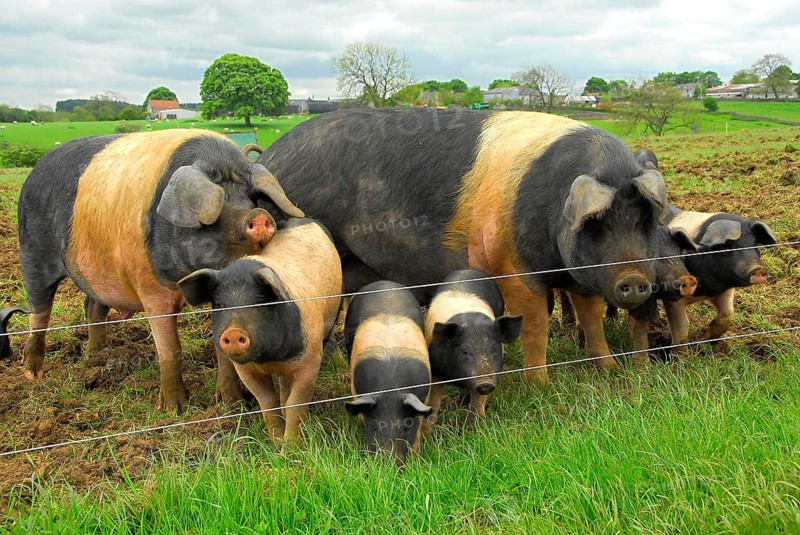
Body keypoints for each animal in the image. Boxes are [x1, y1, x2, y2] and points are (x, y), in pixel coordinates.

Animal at [18, 130, 304, 411]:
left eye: (250, 196)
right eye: (219, 200)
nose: (259, 216)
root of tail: (36, 170)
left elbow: (221, 346)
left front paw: (232, 405)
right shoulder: (149, 288)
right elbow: (169, 348)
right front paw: (173, 409)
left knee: (93, 305)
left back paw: (95, 357)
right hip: (32, 253)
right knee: (39, 312)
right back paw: (33, 374)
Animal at [178, 218, 341, 442]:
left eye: (259, 301)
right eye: (219, 304)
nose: (233, 332)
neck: (269, 358)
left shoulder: (309, 360)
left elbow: (294, 405)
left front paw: (290, 447)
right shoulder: (246, 370)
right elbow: (268, 404)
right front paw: (275, 441)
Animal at [256, 109, 677, 387]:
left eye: (643, 222)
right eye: (595, 223)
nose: (634, 279)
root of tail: (272, 155)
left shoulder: (581, 278)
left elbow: (591, 317)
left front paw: (608, 369)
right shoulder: (512, 267)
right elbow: (535, 327)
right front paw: (540, 386)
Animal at [424, 269, 521, 423]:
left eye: (494, 349)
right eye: (464, 351)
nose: (485, 382)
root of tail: (466, 270)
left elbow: (477, 405)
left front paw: (478, 426)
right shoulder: (435, 370)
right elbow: (433, 403)